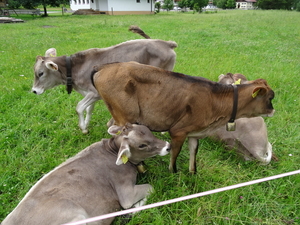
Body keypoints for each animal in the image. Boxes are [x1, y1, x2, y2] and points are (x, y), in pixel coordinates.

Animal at [1, 124, 171, 224]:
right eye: (142, 145)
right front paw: (133, 209)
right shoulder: (126, 193)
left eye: (148, 130)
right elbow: (150, 187)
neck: (112, 150)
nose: (168, 146)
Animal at [31, 25, 177, 134]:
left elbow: (79, 107)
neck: (75, 68)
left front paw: (83, 128)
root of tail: (166, 43)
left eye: (40, 73)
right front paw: (87, 124)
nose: (34, 90)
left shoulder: (94, 92)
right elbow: (88, 109)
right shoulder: (91, 94)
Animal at [92, 62, 276, 173]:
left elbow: (194, 153)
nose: (273, 110)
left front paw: (193, 174)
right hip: (124, 115)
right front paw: (173, 173)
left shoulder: (194, 133)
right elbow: (174, 154)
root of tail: (104, 67)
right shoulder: (178, 131)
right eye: (270, 97)